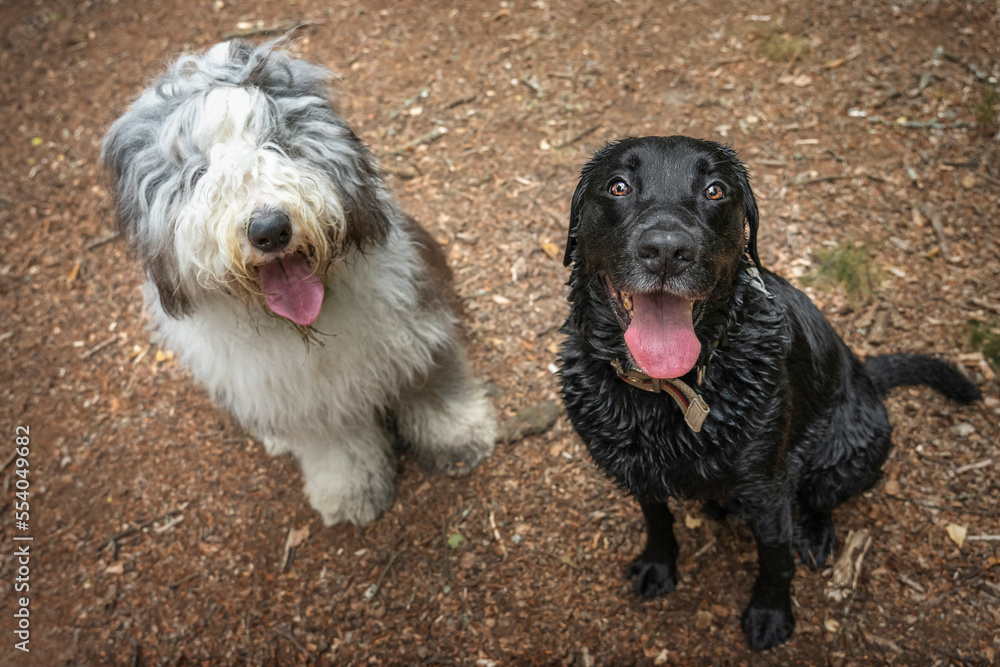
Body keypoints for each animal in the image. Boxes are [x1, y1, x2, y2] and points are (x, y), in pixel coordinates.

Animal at [101, 40, 496, 528]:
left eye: (279, 143)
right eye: (197, 173)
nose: (270, 230)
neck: (309, 327)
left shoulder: (418, 326)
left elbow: (432, 386)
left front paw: (459, 438)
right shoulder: (304, 402)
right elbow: (337, 449)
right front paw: (350, 494)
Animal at [560, 136, 980, 652]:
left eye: (716, 190)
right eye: (617, 186)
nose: (666, 250)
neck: (670, 390)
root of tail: (863, 372)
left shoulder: (768, 488)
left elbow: (775, 557)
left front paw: (770, 614)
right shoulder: (636, 469)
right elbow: (656, 520)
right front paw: (658, 565)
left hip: (849, 454)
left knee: (820, 497)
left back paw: (815, 534)